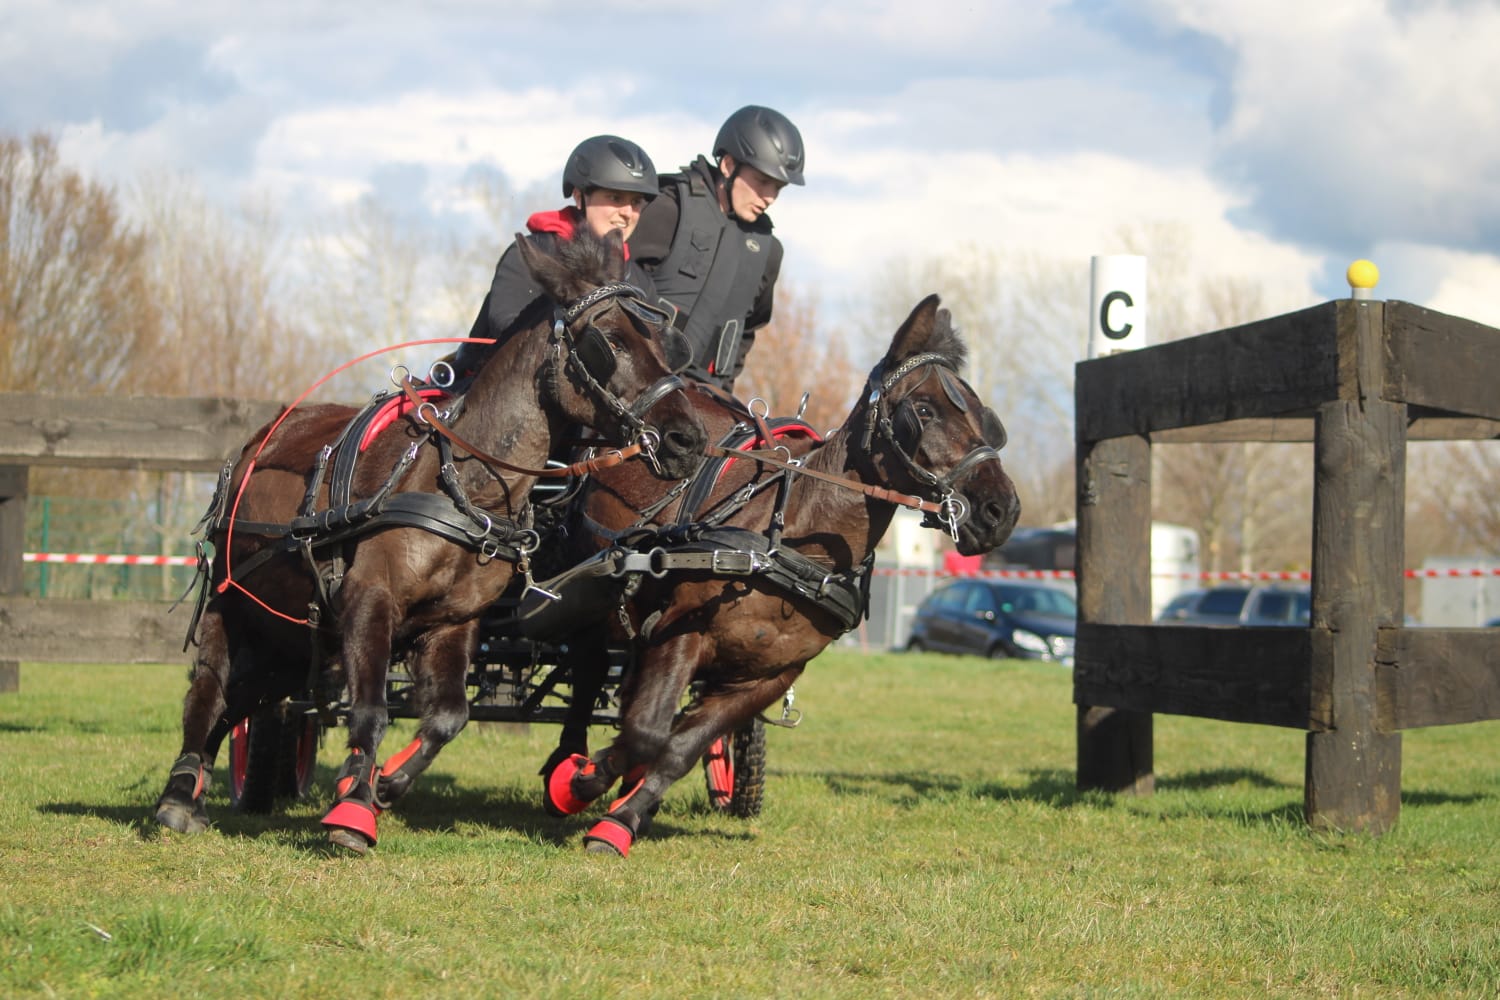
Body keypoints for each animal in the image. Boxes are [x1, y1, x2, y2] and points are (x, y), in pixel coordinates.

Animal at [152, 229, 708, 851]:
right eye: (609, 340)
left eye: (666, 343)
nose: (688, 439)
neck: (464, 484)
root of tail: (254, 445)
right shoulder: (369, 600)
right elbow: (370, 710)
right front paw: (353, 810)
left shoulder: (453, 622)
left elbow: (447, 716)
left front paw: (385, 784)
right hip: (237, 605)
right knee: (211, 691)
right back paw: (179, 794)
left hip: (292, 633)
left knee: (244, 699)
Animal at [540, 293, 1020, 857]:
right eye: (923, 411)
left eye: (986, 418)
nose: (1000, 510)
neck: (791, 545)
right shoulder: (681, 630)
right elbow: (647, 732)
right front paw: (581, 784)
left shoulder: (770, 676)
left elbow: (679, 745)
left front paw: (623, 817)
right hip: (590, 597)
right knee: (590, 670)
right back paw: (565, 764)